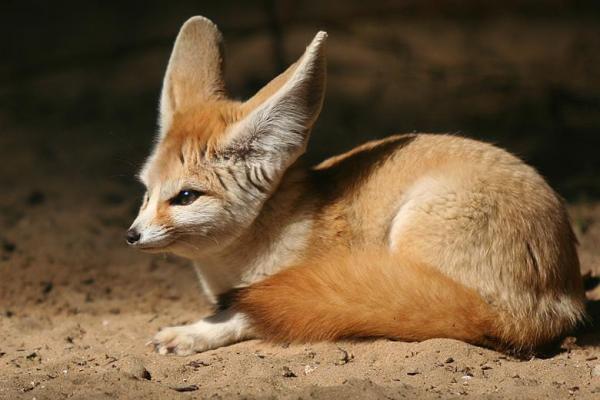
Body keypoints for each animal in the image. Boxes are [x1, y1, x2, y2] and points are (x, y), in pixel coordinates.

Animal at [127, 15, 584, 354]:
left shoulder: (294, 288)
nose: (131, 236)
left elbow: (244, 315)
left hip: (417, 242)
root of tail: (561, 299)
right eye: (146, 193)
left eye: (186, 197)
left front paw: (194, 332)